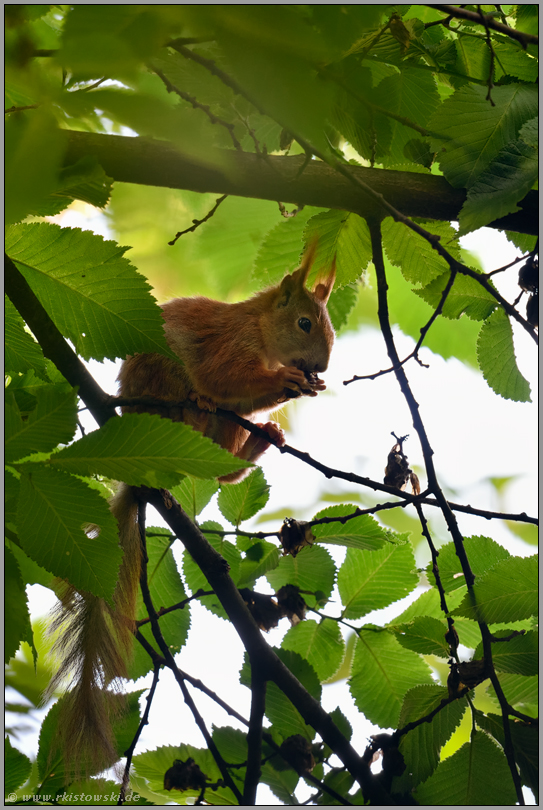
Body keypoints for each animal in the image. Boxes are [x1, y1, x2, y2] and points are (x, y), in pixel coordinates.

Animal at [50, 243, 336, 772]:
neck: (260, 329)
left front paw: (299, 389)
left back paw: (261, 440)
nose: (322, 367)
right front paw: (285, 378)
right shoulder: (231, 345)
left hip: (225, 430)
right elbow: (227, 375)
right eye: (306, 323)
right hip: (162, 381)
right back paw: (198, 403)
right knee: (194, 400)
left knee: (223, 467)